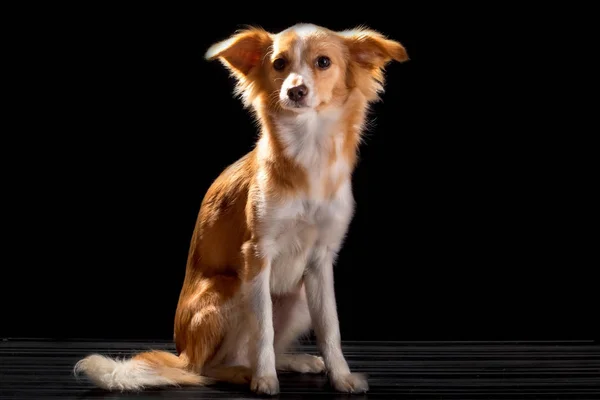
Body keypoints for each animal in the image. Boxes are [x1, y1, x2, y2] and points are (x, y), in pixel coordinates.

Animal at [72, 21, 406, 394]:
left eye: (323, 62)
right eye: (279, 64)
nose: (295, 91)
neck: (308, 148)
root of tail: (184, 352)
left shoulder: (321, 261)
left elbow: (330, 327)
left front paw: (342, 376)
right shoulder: (257, 255)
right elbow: (263, 329)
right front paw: (264, 379)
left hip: (299, 298)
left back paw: (291, 361)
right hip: (230, 289)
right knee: (206, 368)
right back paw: (243, 373)